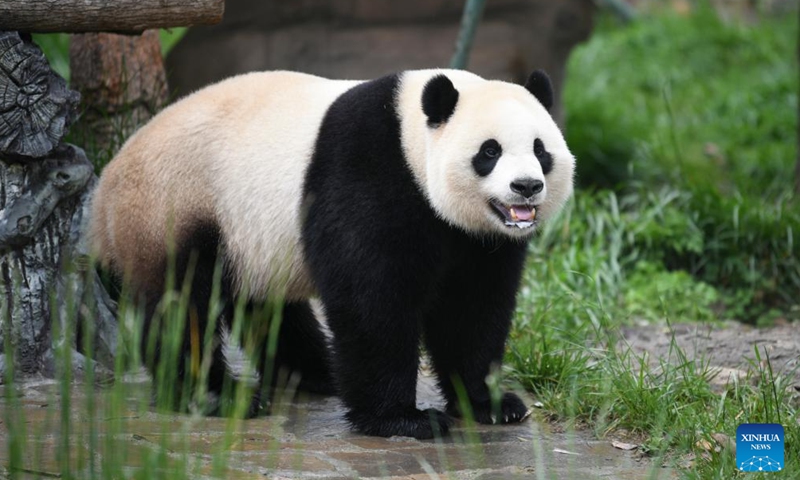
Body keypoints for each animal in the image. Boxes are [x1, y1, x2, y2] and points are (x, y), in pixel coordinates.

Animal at [89, 68, 576, 438]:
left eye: (540, 150)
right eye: (489, 151)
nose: (526, 187)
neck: (411, 137)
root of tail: (104, 190)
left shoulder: (476, 240)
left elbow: (471, 310)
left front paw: (490, 403)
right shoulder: (369, 171)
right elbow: (370, 298)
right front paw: (404, 419)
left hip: (251, 240)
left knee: (270, 307)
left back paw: (312, 373)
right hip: (178, 208)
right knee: (183, 307)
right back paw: (215, 395)